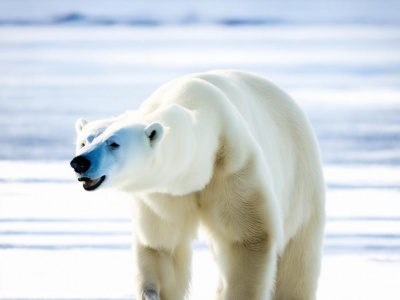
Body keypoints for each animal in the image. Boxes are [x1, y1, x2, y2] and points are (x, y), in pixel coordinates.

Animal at [70, 71, 324, 300]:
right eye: (84, 141)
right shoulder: (163, 192)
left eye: (114, 143)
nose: (80, 162)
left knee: (298, 259)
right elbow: (162, 244)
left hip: (299, 180)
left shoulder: (232, 166)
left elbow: (246, 238)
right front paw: (152, 293)